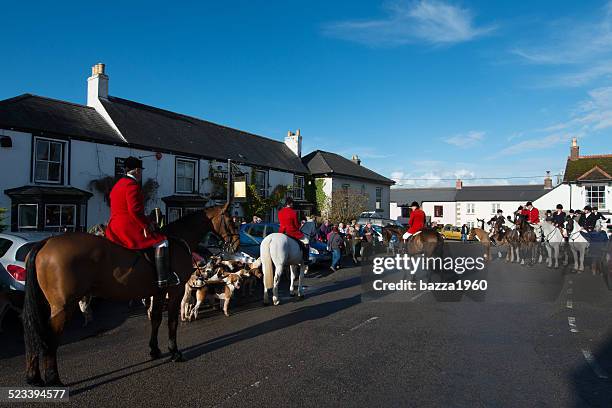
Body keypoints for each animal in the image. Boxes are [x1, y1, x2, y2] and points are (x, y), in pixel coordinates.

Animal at [21, 204, 238, 386]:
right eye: (230, 218)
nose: (235, 244)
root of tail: (45, 241)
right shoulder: (174, 291)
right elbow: (172, 322)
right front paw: (174, 352)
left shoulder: (159, 292)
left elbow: (156, 319)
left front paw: (154, 350)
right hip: (64, 305)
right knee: (48, 335)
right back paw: (53, 379)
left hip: (47, 303)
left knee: (34, 330)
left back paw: (34, 377)